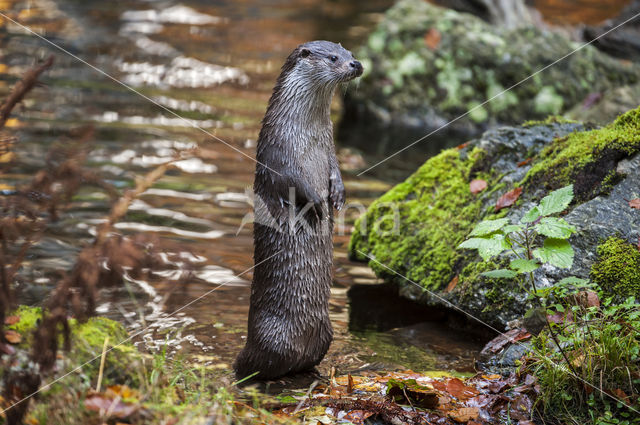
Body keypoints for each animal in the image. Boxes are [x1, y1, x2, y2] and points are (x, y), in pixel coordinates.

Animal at [235, 40, 364, 378]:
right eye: (333, 58)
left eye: (350, 53)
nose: (356, 64)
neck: (307, 136)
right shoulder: (280, 152)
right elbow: (295, 183)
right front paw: (317, 203)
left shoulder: (330, 149)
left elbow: (335, 171)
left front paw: (338, 195)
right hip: (271, 338)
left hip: (325, 335)